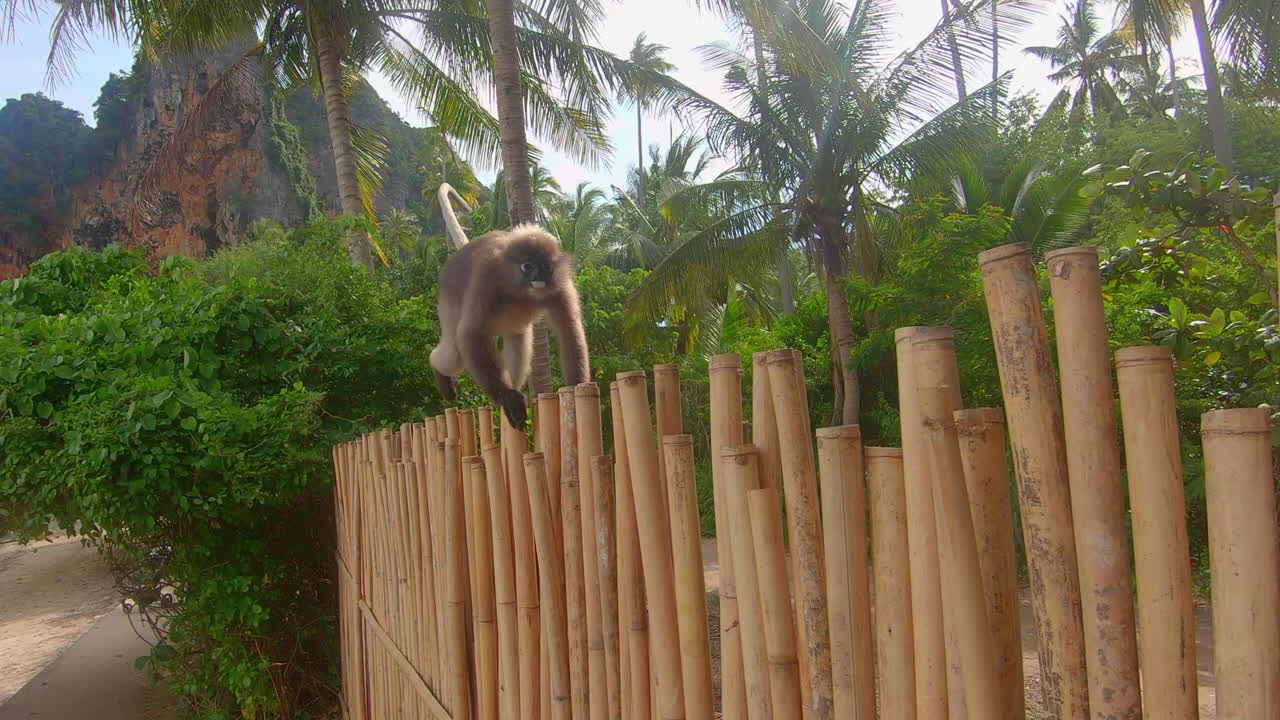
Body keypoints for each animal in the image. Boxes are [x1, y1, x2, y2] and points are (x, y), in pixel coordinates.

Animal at [428, 223, 590, 429]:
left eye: (546, 266)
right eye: (527, 266)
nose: (539, 276)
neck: (522, 290)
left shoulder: (560, 288)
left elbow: (569, 330)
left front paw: (577, 387)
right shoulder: (487, 275)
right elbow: (470, 333)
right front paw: (507, 397)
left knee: (519, 340)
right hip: (449, 304)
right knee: (453, 353)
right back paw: (440, 373)